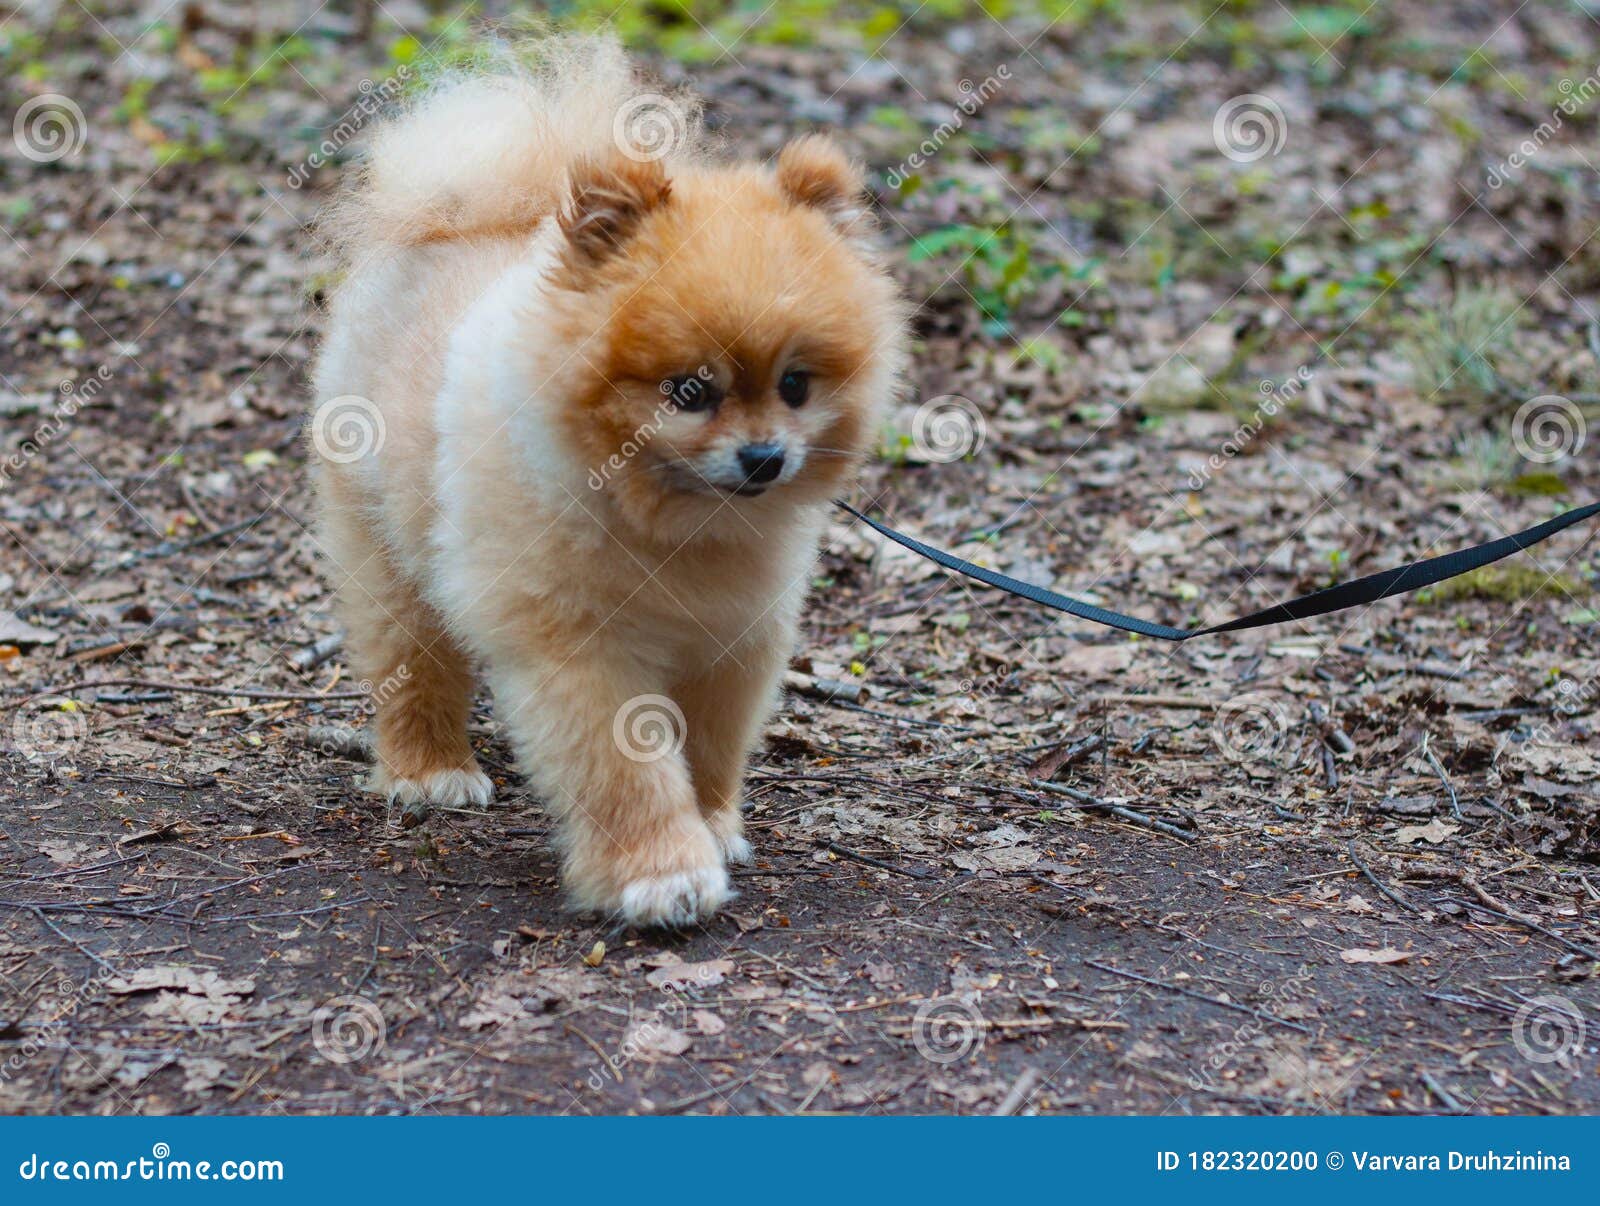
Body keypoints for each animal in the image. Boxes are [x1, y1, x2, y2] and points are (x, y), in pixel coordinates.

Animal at [312, 37, 908, 921]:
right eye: (689, 392)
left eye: (796, 385)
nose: (765, 457)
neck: (668, 522)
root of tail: (464, 216)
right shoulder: (578, 648)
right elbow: (624, 769)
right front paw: (661, 874)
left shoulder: (732, 638)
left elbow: (711, 749)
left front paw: (713, 826)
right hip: (384, 544)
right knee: (412, 660)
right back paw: (431, 771)